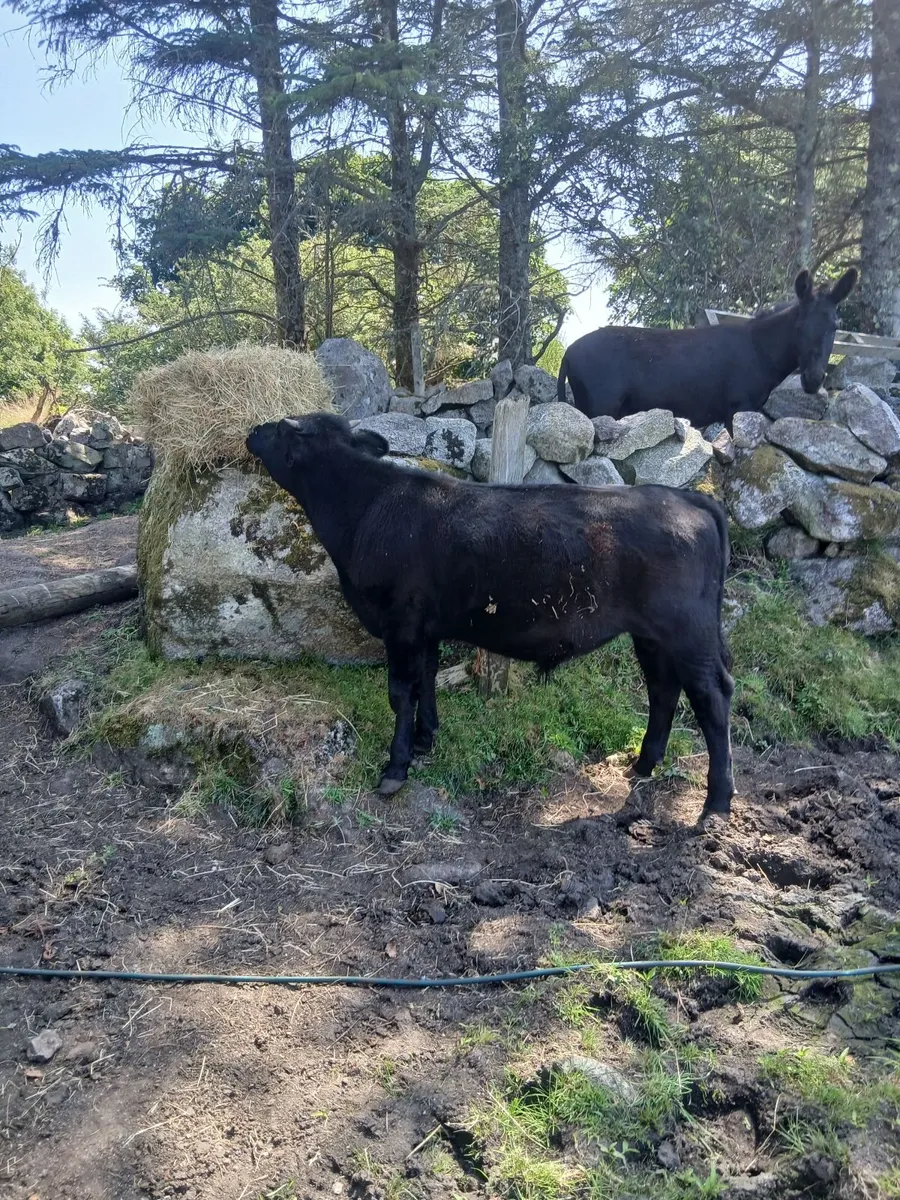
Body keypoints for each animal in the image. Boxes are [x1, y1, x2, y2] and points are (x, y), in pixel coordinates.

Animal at [247, 412, 735, 822]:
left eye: (282, 427)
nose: (252, 430)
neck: (367, 507)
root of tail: (688, 499)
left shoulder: (400, 623)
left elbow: (401, 693)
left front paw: (396, 767)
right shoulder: (426, 627)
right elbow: (426, 679)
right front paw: (426, 738)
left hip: (688, 632)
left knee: (710, 697)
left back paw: (716, 802)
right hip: (652, 634)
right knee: (663, 689)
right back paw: (644, 764)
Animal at [558, 268, 858, 431]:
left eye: (835, 326)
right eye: (799, 325)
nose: (813, 380)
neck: (761, 352)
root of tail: (568, 353)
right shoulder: (737, 407)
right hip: (600, 407)